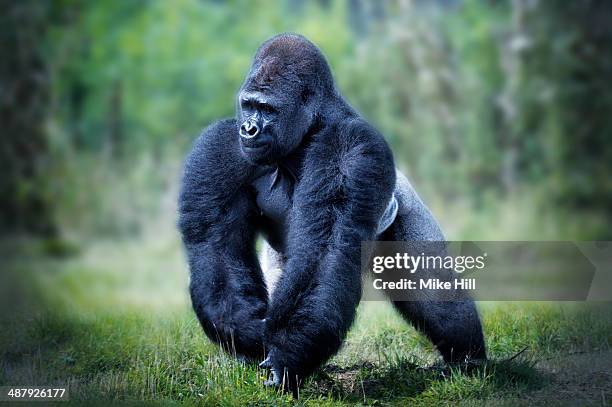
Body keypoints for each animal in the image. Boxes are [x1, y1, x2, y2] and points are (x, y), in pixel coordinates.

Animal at [178, 32, 488, 396]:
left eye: (267, 109)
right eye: (248, 105)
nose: (249, 129)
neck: (308, 132)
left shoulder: (351, 146)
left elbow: (327, 250)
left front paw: (288, 356)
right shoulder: (222, 147)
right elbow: (217, 248)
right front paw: (246, 332)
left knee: (435, 293)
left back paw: (469, 360)